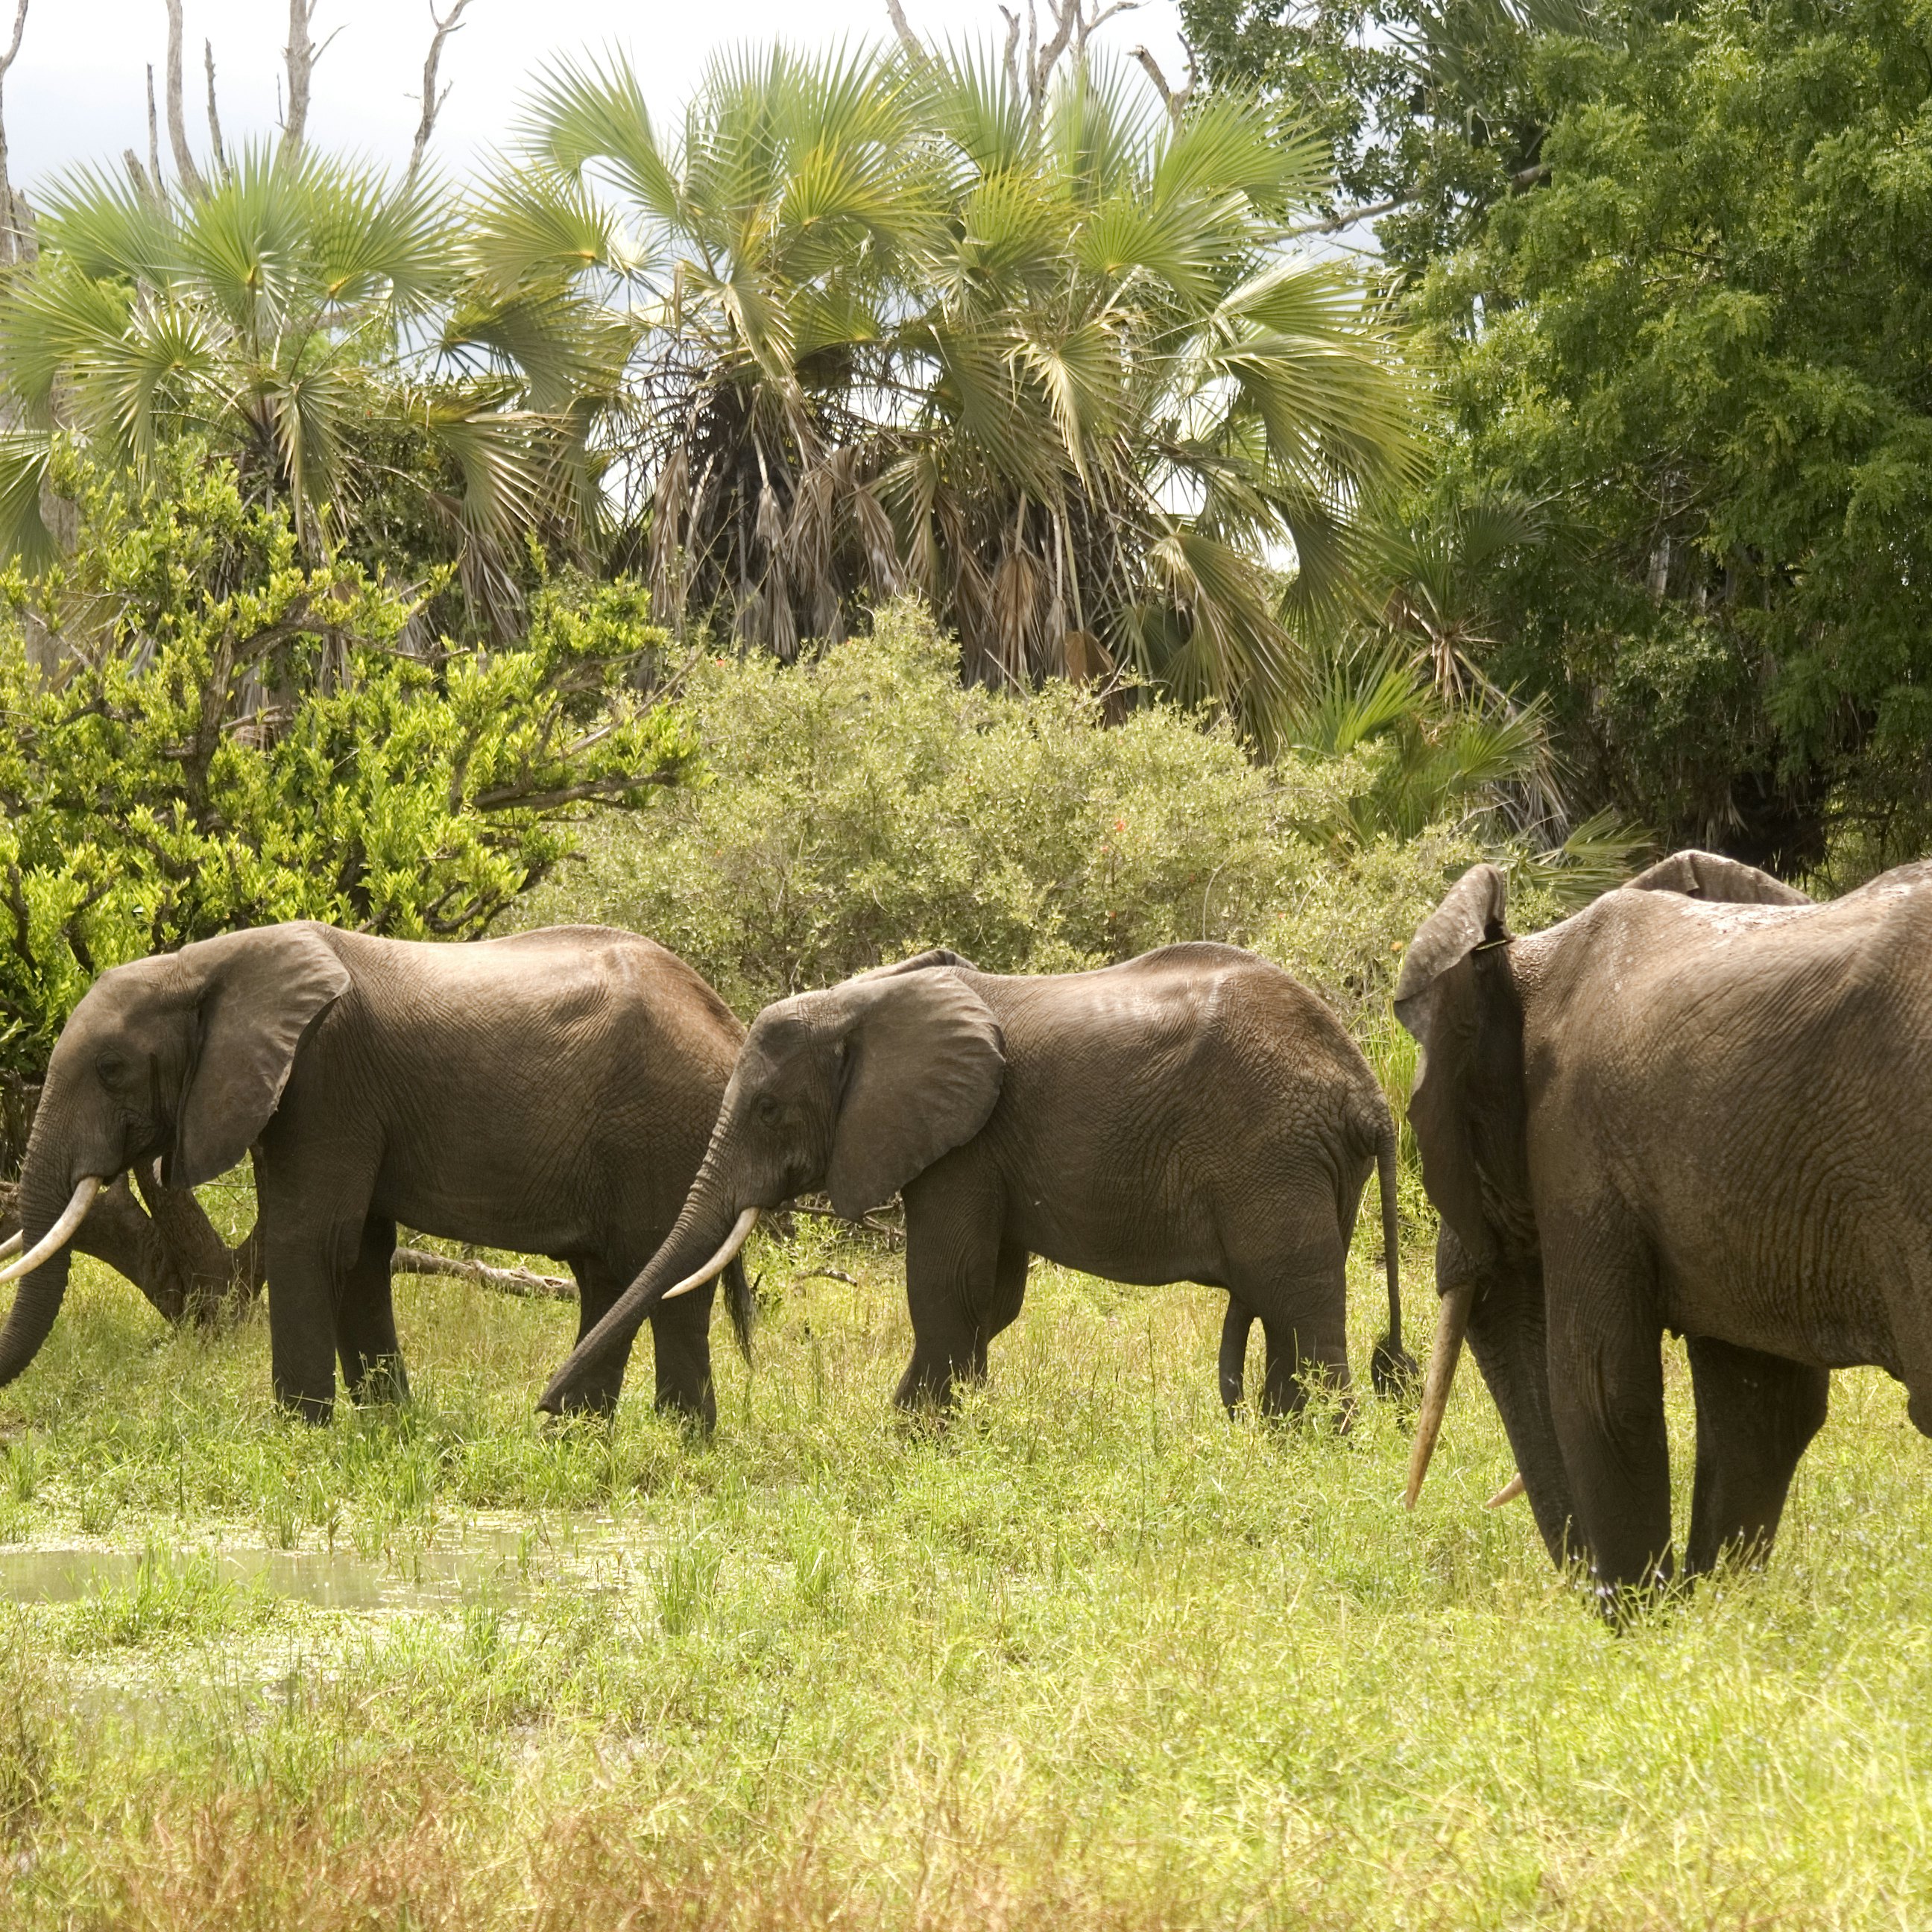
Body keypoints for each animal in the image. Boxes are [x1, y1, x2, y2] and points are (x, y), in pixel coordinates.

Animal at [1, 921, 752, 1423]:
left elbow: (311, 1241)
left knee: (664, 1281)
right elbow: (360, 1252)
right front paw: (388, 1429)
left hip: (664, 1130)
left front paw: (300, 1435)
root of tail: (727, 1022)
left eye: (111, 1069)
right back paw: (573, 1437)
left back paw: (677, 1442)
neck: (204, 964)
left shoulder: (326, 1078)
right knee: (606, 1279)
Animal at [537, 942, 1413, 1419]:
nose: (540, 1411)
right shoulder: (982, 1145)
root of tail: (1366, 1092)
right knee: (1282, 1302)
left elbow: (947, 1285)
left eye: (767, 1108)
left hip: (1274, 1147)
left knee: (1294, 1295)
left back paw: (1316, 1449)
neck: (867, 998)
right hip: (1307, 1161)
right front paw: (949, 1426)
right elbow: (993, 1296)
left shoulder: (964, 1142)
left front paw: (906, 1436)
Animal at [1394, 846, 1932, 1603]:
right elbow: (1760, 1405)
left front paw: (1643, 1620)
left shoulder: (1578, 1146)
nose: (1589, 1590)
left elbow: (1598, 1391)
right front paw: (1709, 1614)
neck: (1527, 960)